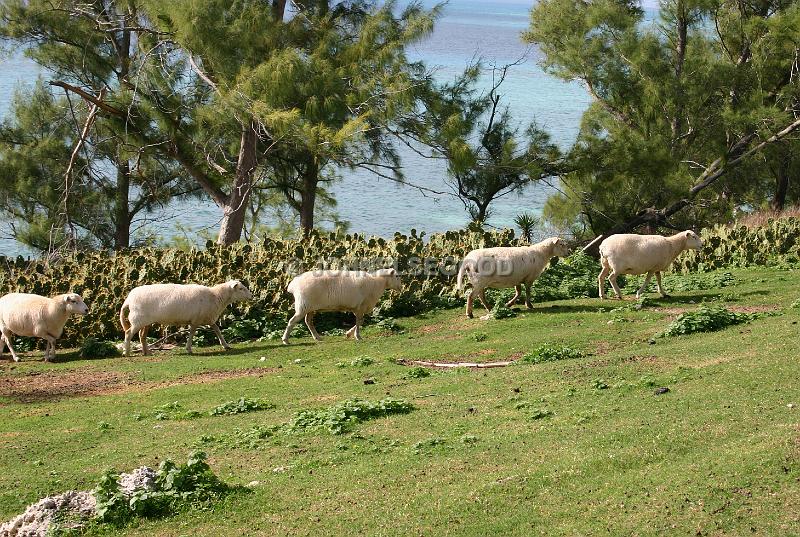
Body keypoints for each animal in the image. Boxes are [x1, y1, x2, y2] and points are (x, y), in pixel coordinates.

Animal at [119, 280, 253, 356]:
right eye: (241, 288)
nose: (251, 296)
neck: (216, 296)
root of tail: (128, 299)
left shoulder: (208, 318)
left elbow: (217, 329)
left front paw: (225, 345)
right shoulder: (196, 319)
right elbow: (192, 332)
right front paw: (188, 349)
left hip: (145, 321)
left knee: (142, 336)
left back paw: (147, 352)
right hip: (137, 320)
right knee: (128, 333)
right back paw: (127, 352)